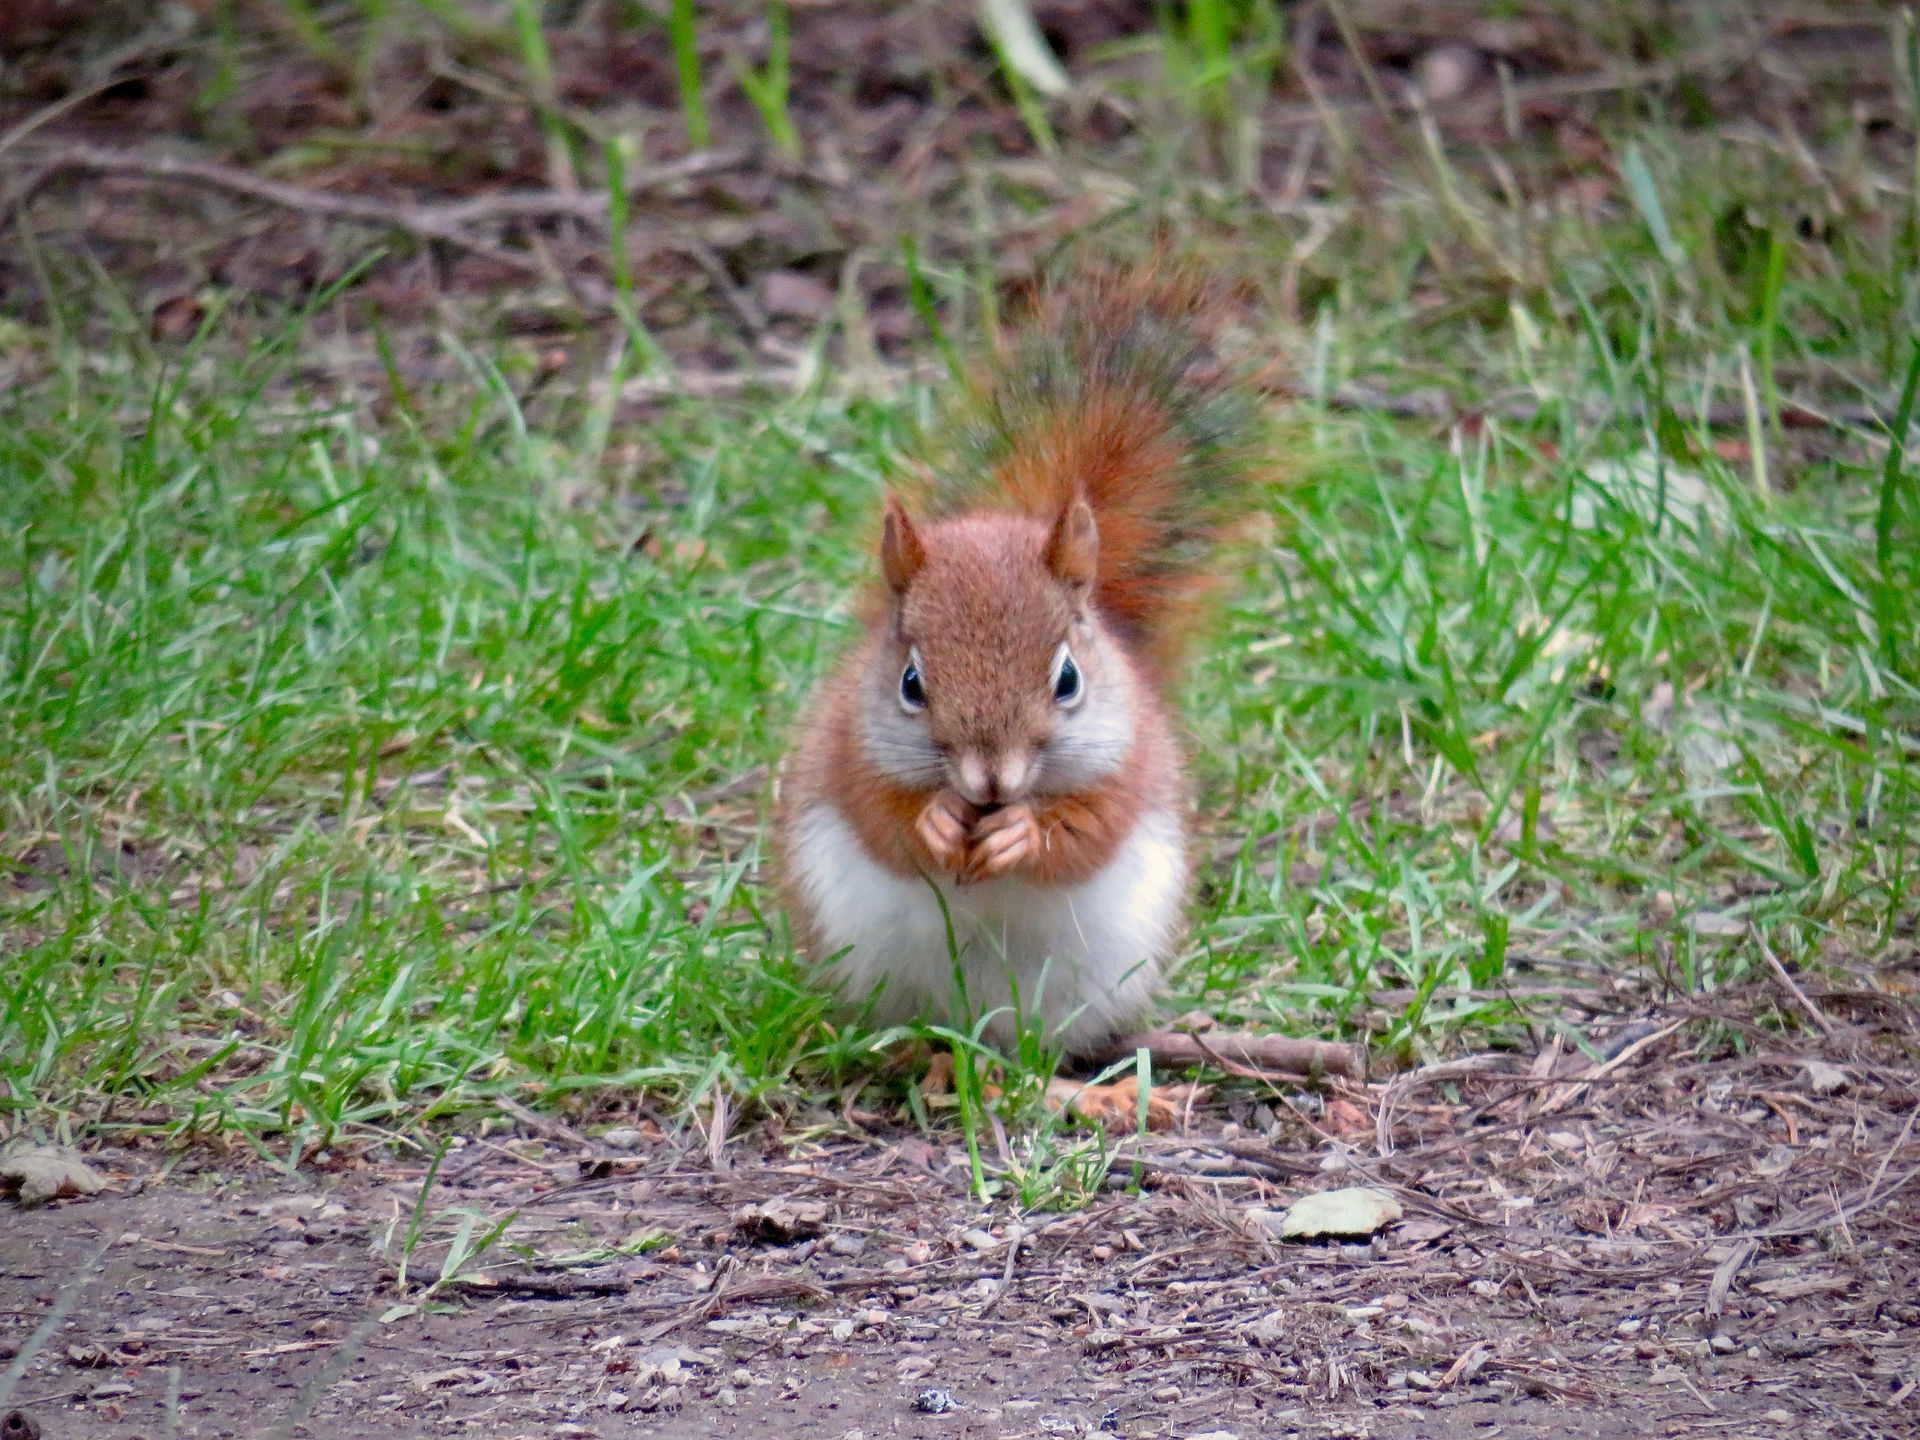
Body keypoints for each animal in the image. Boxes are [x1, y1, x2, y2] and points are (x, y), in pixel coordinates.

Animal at [773, 263, 1274, 1061]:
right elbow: (881, 820)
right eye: (911, 683)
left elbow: (1087, 831)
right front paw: (936, 822)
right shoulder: (846, 750)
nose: (991, 781)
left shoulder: (1131, 765)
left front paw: (1021, 832)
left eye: (1068, 679)